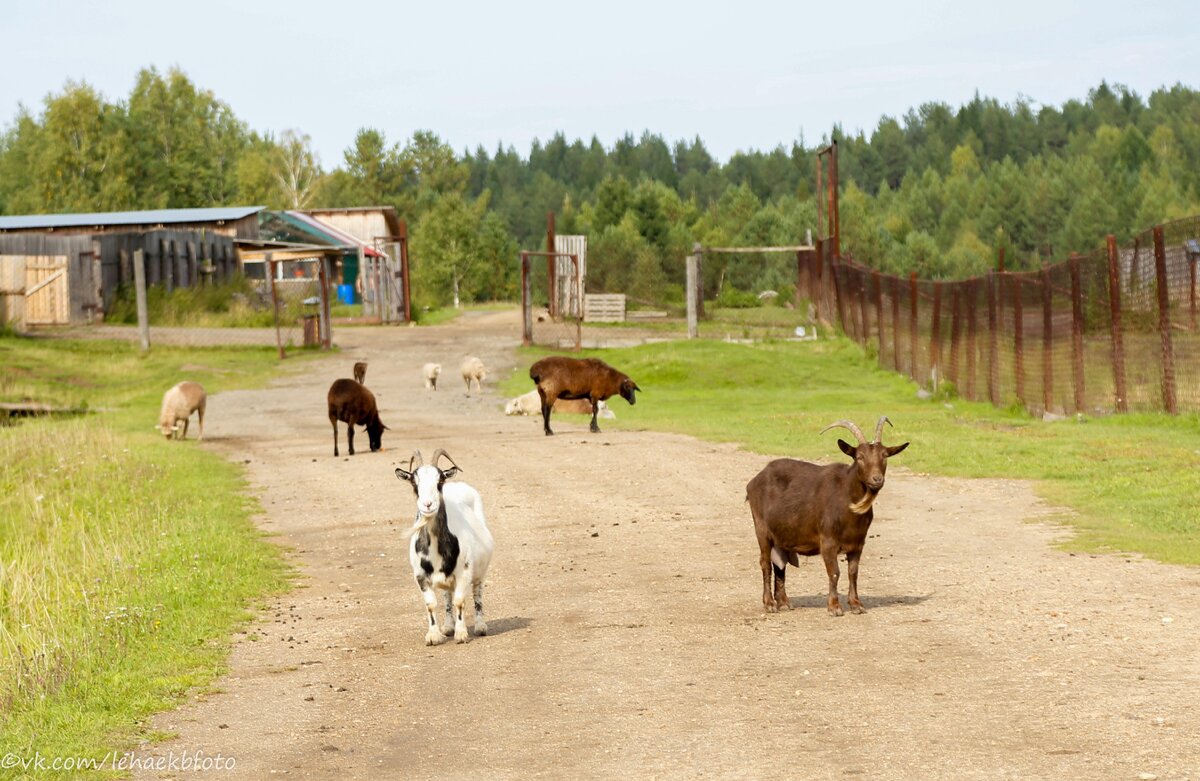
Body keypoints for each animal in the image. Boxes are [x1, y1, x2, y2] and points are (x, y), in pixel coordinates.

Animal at [396, 448, 494, 643]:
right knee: (447, 596)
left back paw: (480, 626)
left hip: (480, 571)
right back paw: (448, 626)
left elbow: (460, 601)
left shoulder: (464, 572)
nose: (428, 505)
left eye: (440, 481)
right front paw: (434, 635)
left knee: (477, 593)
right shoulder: (420, 577)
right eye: (414, 482)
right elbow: (431, 604)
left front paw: (461, 633)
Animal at [744, 415, 902, 619]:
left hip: (782, 535)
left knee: (779, 563)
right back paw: (770, 604)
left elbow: (853, 572)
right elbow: (834, 572)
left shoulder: (858, 543)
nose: (877, 479)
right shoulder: (827, 540)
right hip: (761, 528)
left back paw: (784, 603)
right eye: (859, 457)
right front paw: (834, 607)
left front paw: (856, 605)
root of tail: (754, 481)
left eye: (884, 456)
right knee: (765, 563)